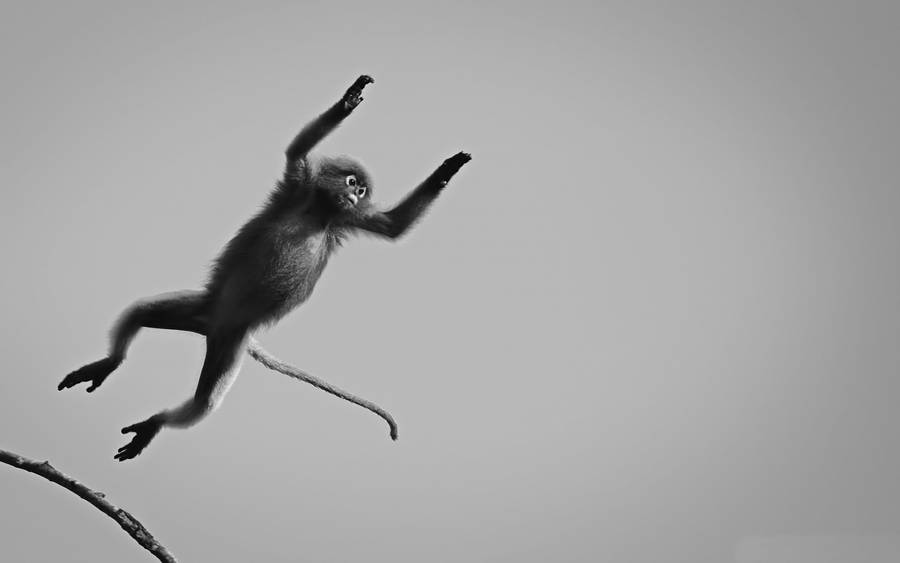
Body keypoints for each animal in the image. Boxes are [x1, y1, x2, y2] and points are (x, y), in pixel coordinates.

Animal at [58, 75, 471, 461]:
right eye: (353, 183)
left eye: (362, 192)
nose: (355, 196)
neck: (319, 212)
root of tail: (213, 325)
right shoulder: (299, 184)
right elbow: (298, 150)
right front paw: (350, 99)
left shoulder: (347, 219)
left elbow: (393, 227)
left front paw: (446, 170)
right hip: (207, 311)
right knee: (140, 312)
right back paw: (111, 363)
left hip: (229, 340)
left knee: (201, 400)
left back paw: (154, 422)